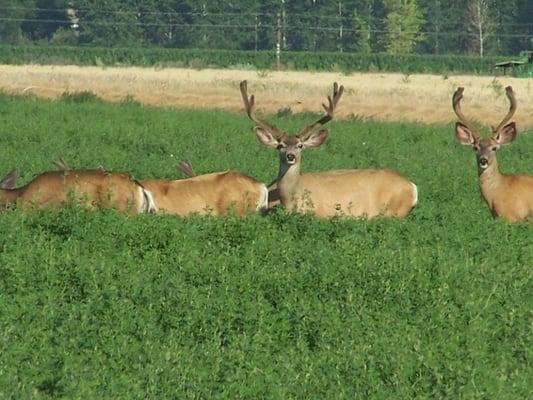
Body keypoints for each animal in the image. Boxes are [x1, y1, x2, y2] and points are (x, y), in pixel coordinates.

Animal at [239, 81, 418, 219]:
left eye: (300, 145)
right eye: (280, 145)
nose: (290, 156)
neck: (291, 201)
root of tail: (412, 186)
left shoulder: (321, 213)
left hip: (394, 210)